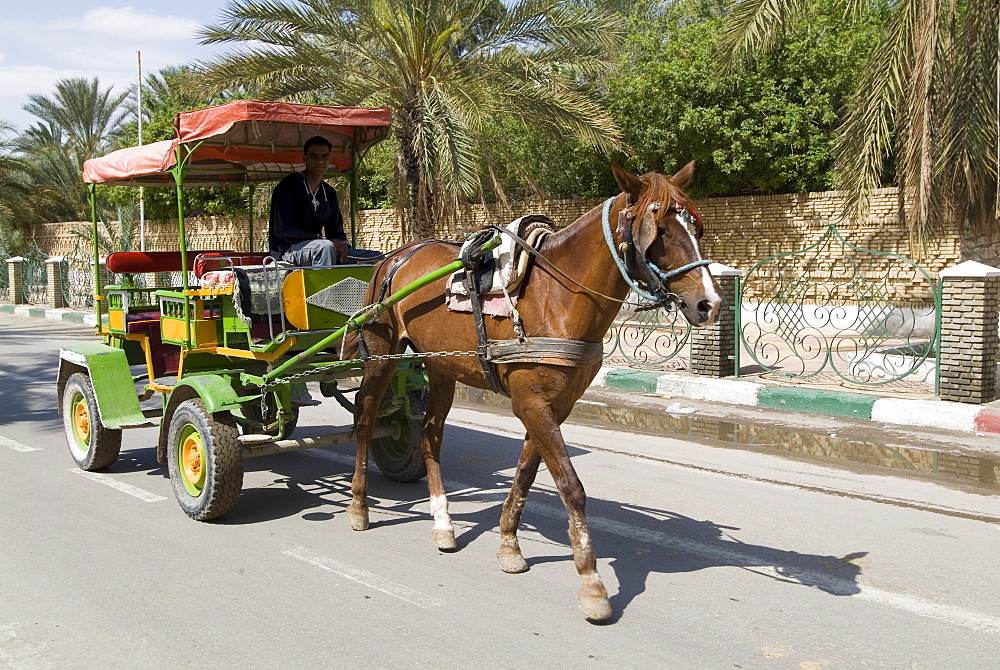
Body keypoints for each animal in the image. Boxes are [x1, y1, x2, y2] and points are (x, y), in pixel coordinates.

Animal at [344, 161, 720, 620]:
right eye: (659, 229)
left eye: (695, 226)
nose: (709, 303)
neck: (558, 297)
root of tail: (397, 256)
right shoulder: (531, 403)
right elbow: (571, 487)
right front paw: (592, 582)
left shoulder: (554, 405)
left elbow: (526, 474)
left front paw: (509, 545)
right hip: (383, 355)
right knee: (365, 419)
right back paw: (359, 506)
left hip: (441, 365)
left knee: (430, 435)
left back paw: (443, 523)